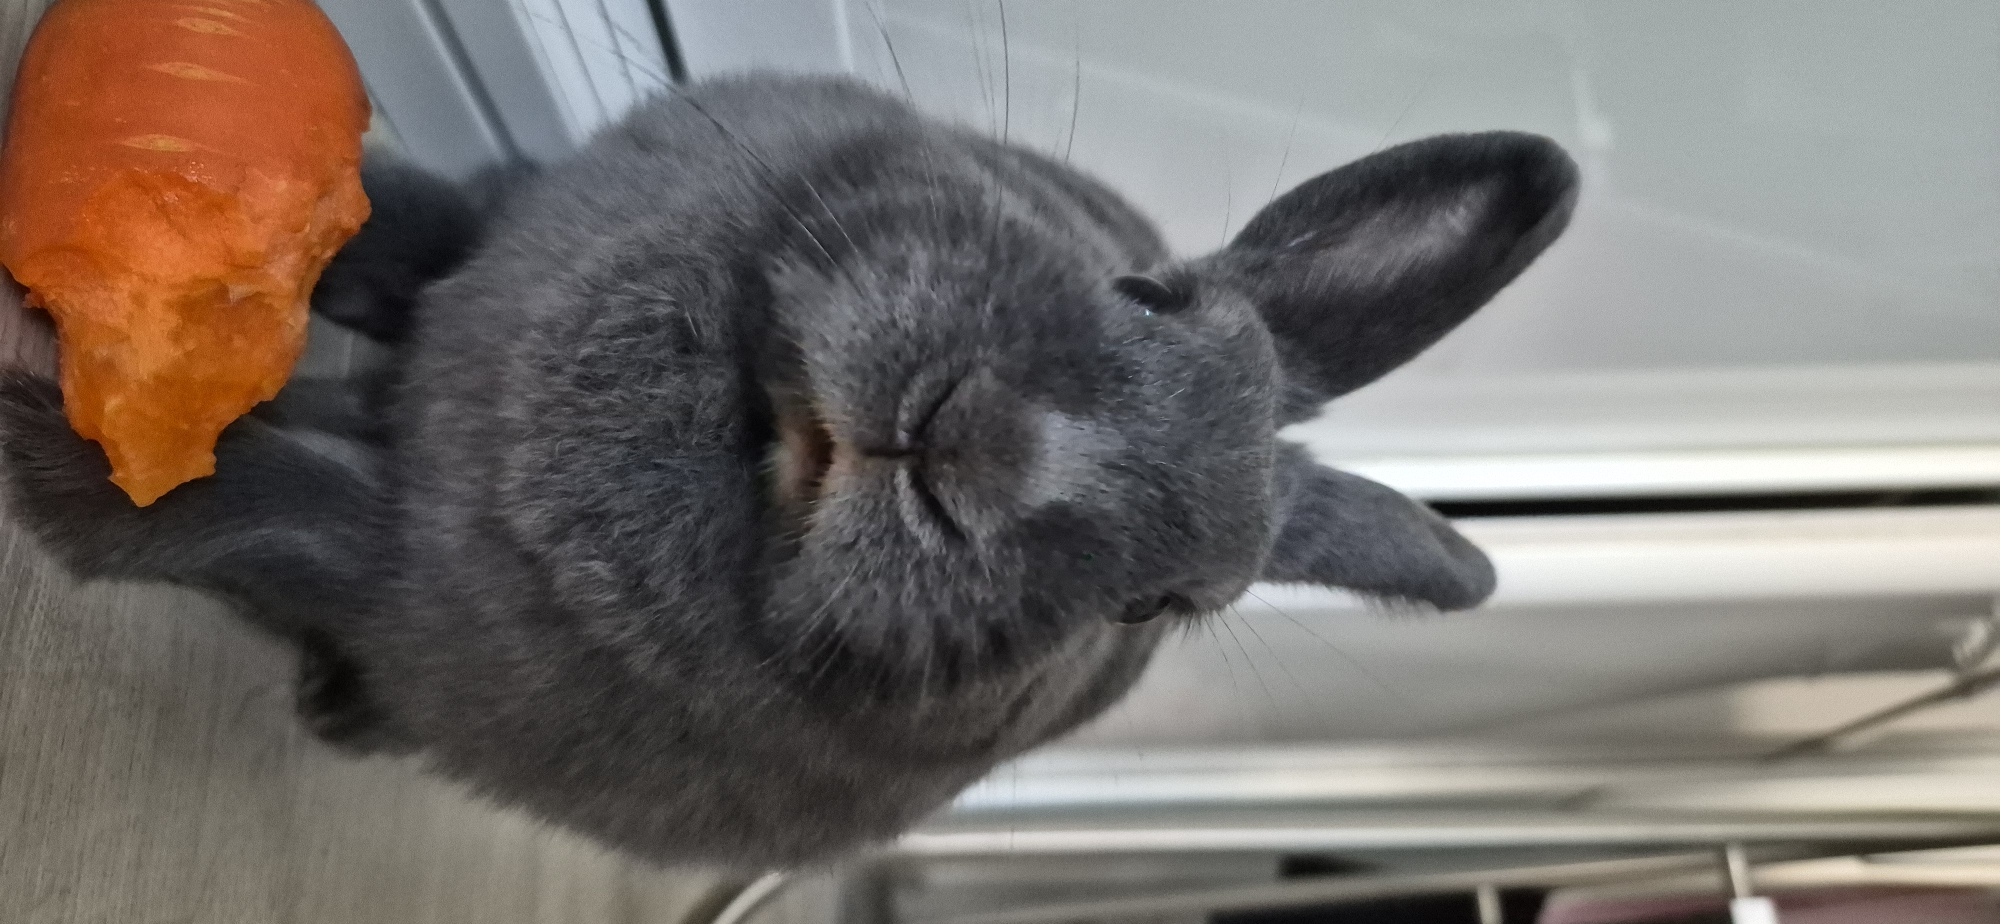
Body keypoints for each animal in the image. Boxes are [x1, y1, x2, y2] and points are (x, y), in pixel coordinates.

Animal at [0, 74, 1578, 868]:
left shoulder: (415, 586)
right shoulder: (498, 237)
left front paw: (46, 458)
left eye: (1157, 608)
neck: (761, 449)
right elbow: (413, 232)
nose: (980, 447)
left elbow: (264, 511)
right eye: (1141, 287)